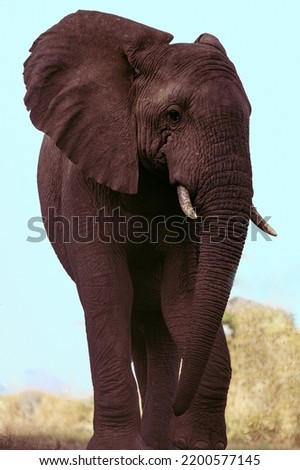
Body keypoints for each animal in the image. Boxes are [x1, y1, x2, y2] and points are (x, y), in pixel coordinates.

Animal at [24, 11, 276, 450]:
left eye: (248, 116)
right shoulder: (86, 177)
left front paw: (198, 446)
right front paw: (117, 448)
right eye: (173, 115)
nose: (179, 410)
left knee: (158, 326)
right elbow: (108, 290)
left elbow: (185, 296)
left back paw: (157, 441)